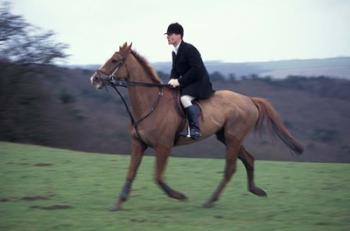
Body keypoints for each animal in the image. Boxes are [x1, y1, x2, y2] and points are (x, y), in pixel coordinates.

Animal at [90, 42, 304, 211]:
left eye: (115, 60)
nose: (95, 79)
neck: (150, 104)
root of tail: (249, 99)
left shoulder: (163, 146)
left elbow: (158, 177)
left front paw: (179, 196)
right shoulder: (138, 144)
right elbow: (131, 173)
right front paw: (118, 203)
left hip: (233, 137)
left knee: (231, 168)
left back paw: (210, 201)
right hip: (226, 137)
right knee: (248, 160)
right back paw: (256, 191)